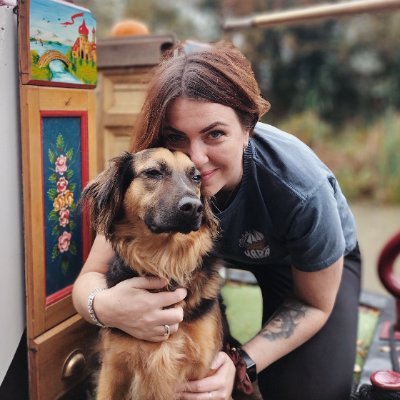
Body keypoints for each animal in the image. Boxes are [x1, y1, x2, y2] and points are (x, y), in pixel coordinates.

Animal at [81, 148, 225, 400]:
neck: (165, 261)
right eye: (153, 172)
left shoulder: (202, 368)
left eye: (196, 177)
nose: (194, 207)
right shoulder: (113, 367)